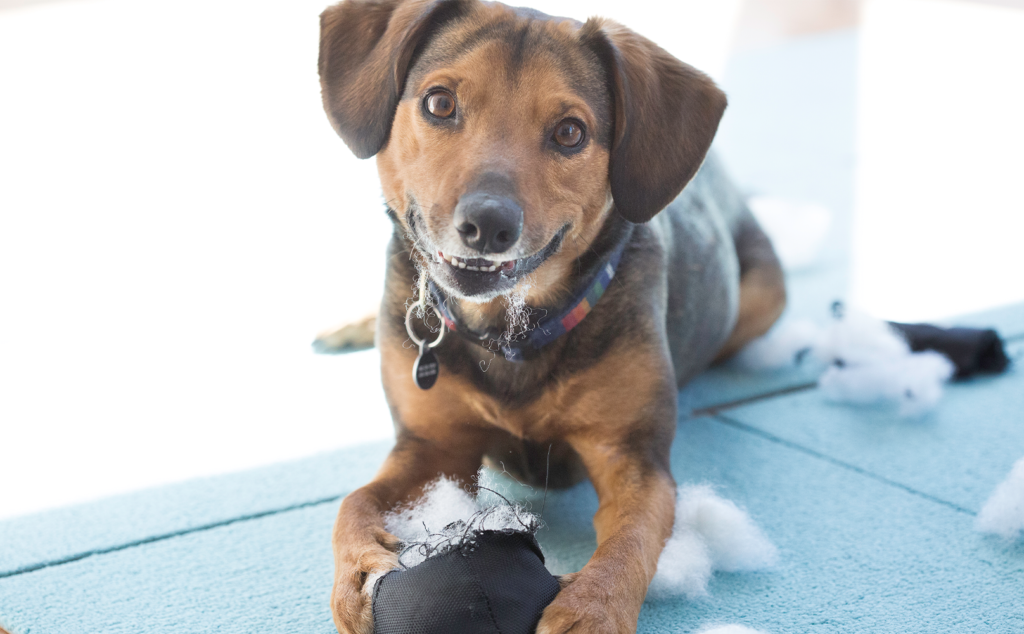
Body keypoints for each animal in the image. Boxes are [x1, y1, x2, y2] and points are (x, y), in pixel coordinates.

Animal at [317, 2, 782, 630]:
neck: (509, 331)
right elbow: (354, 501)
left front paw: (592, 608)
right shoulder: (430, 447)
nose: (487, 225)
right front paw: (358, 575)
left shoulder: (633, 457)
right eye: (439, 103)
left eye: (570, 132)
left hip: (762, 299)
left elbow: (632, 539)